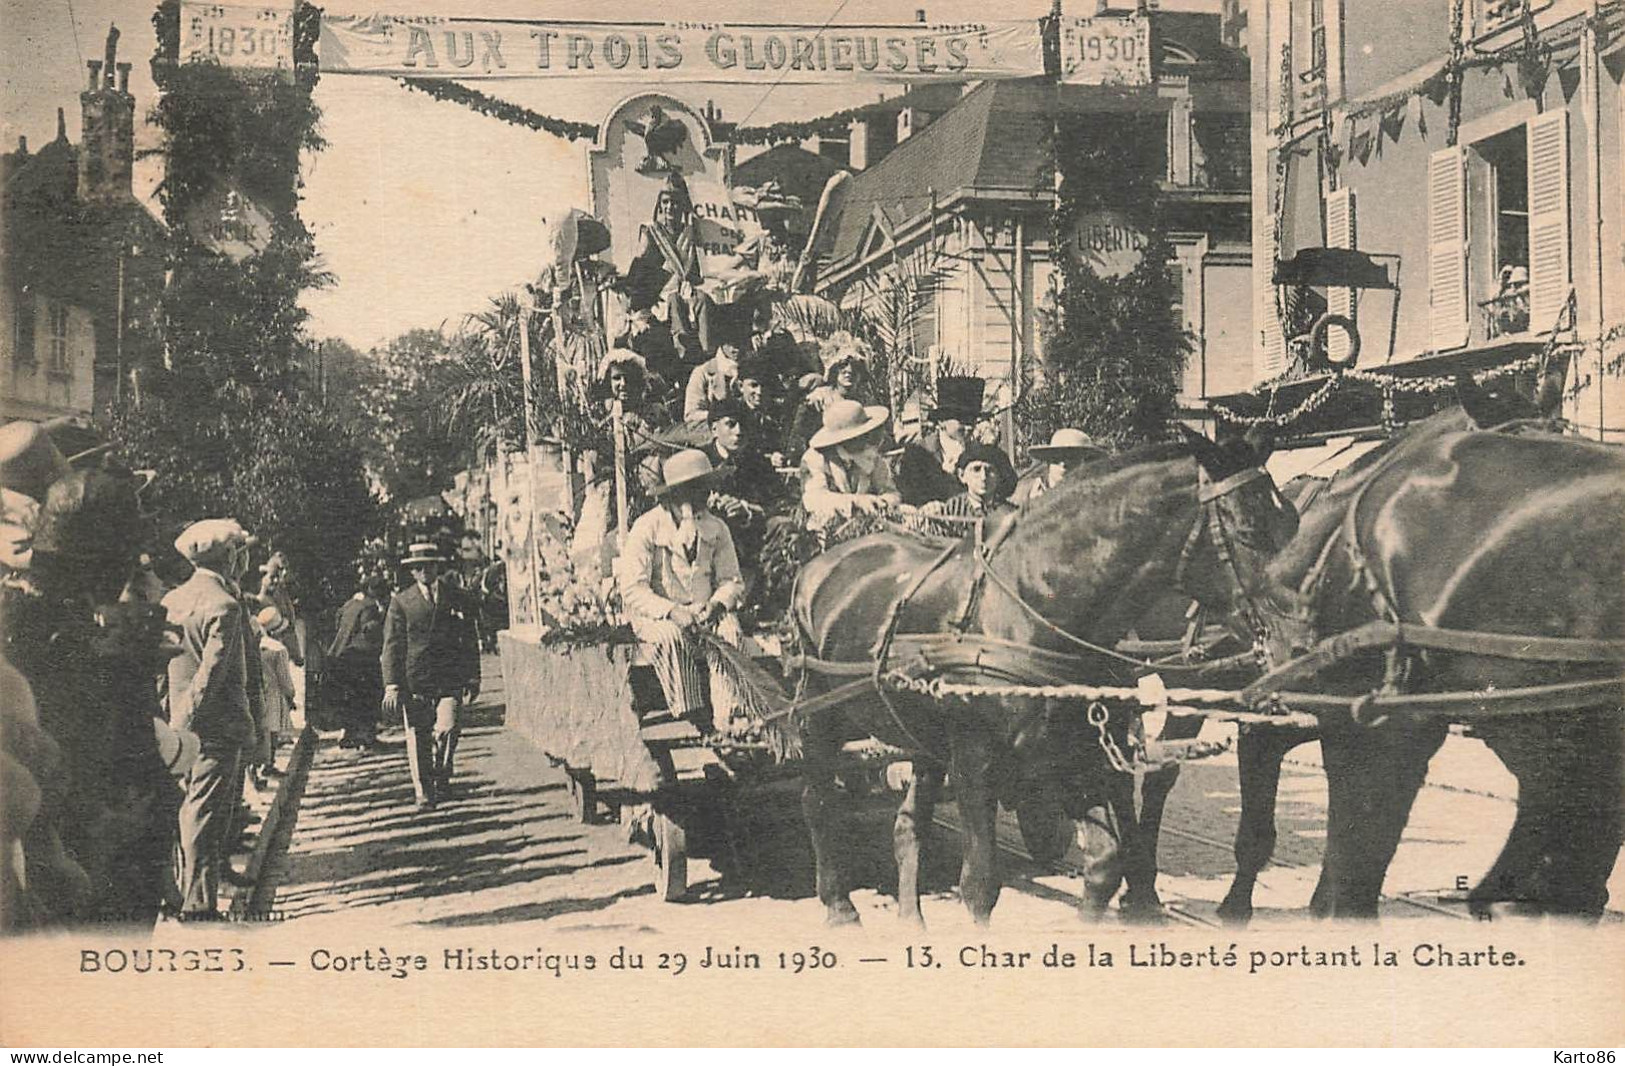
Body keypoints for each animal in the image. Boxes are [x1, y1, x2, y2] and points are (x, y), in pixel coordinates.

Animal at [786, 432, 1293, 923]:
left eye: (1290, 521)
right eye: (1248, 529)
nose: (1296, 641)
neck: (1031, 610)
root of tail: (823, 562)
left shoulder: (1079, 758)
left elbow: (1104, 867)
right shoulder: (974, 765)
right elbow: (979, 887)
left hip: (921, 737)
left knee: (908, 824)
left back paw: (911, 919)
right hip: (820, 712)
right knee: (816, 801)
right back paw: (839, 905)